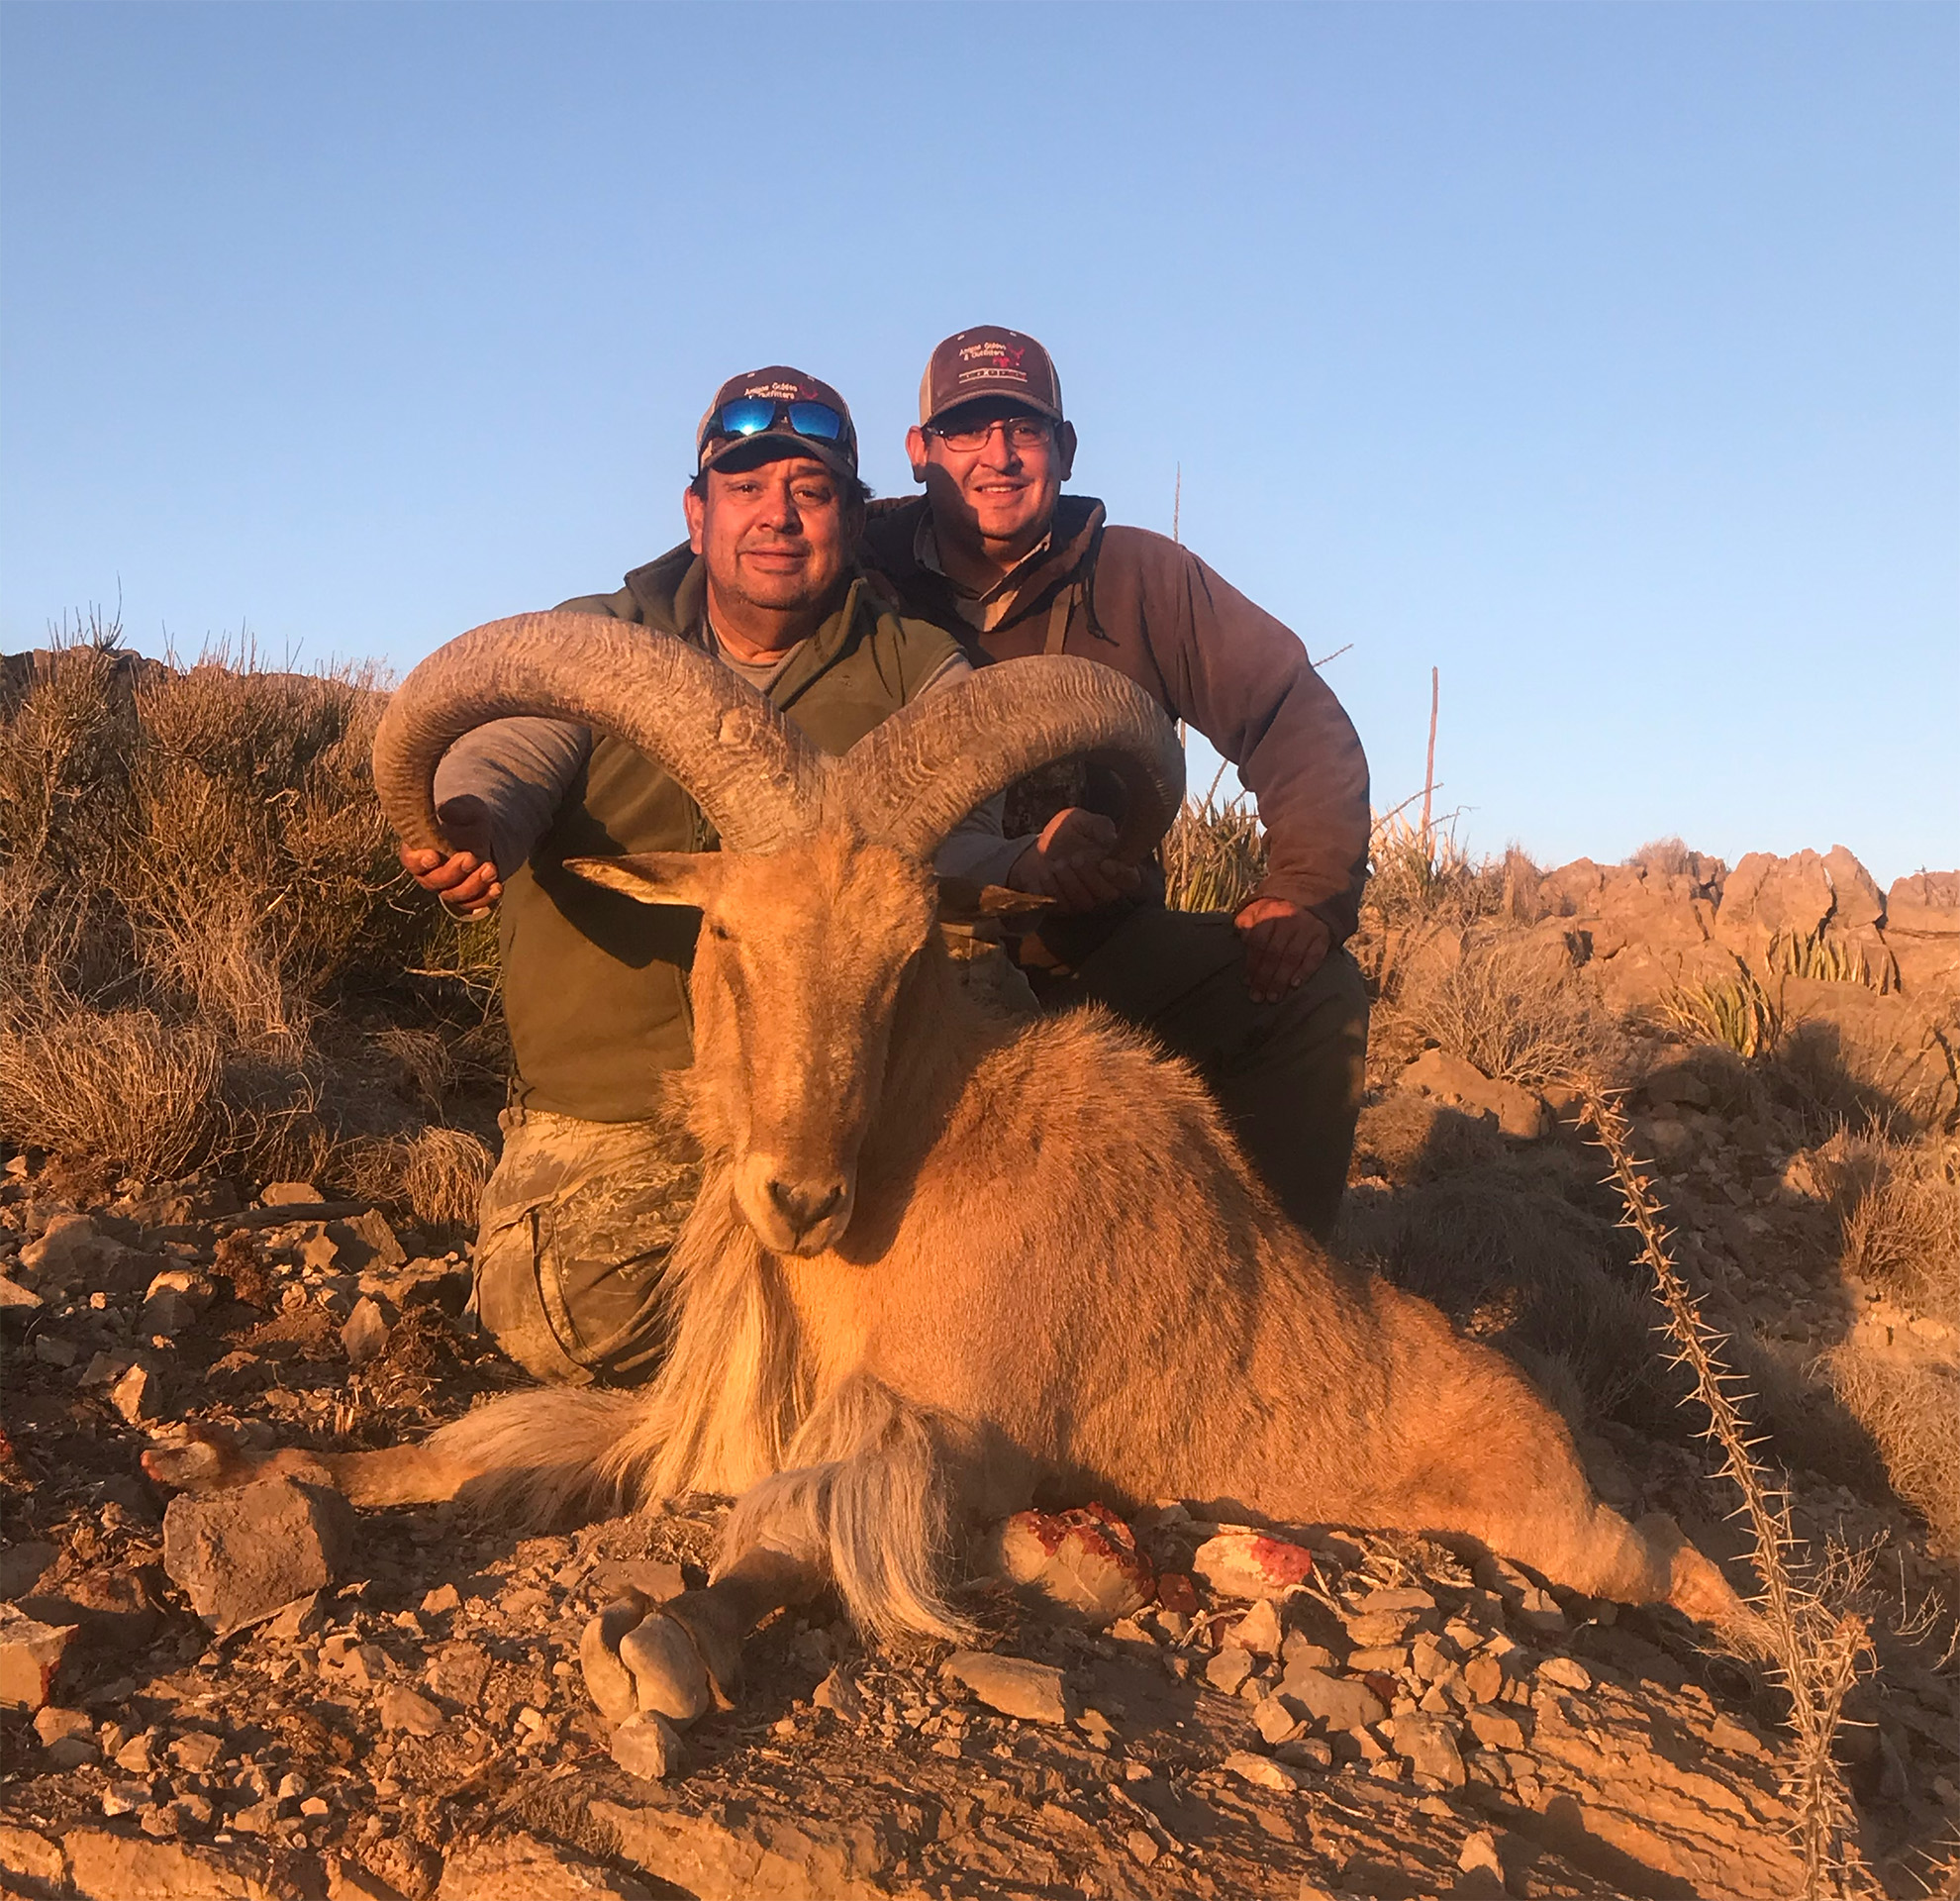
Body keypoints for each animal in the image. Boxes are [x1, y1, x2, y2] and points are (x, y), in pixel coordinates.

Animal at [145, 611, 1747, 1727]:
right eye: (726, 933)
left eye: (908, 952)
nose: (799, 1199)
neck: (905, 1183)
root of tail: (1548, 1420)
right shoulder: (696, 1408)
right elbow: (464, 1450)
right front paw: (245, 1457)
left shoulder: (967, 1444)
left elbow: (791, 1531)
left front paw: (669, 1648)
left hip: (1565, 1530)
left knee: (1675, 1556)